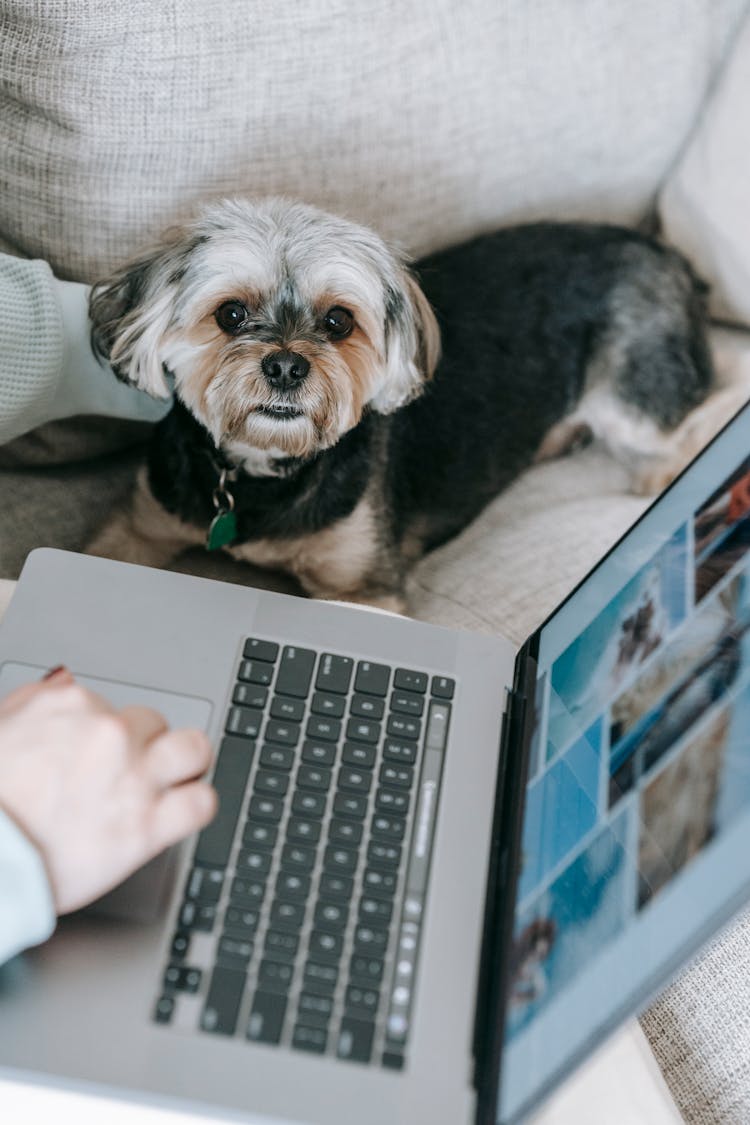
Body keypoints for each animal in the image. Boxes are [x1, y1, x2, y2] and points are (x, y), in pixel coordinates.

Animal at [89, 196, 728, 612]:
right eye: (230, 314)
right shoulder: (138, 527)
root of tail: (663, 252)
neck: (264, 473)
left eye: (338, 321)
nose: (287, 366)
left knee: (710, 405)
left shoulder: (365, 589)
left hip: (632, 396)